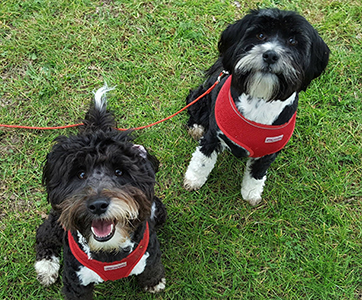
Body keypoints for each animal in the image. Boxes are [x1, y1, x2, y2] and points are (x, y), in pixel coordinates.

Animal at [34, 85, 167, 298]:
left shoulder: (150, 253)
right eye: (80, 174)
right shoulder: (76, 283)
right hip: (59, 223)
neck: (110, 252)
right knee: (43, 233)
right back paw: (46, 267)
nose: (97, 205)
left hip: (158, 210)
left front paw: (153, 282)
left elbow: (152, 268)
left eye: (119, 171)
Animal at [184, 8, 330, 206]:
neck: (260, 98)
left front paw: (251, 193)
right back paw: (196, 126)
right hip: (205, 94)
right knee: (195, 104)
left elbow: (257, 174)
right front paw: (193, 180)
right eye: (260, 35)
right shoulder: (214, 135)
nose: (270, 55)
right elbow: (202, 160)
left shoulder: (268, 153)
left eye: (293, 41)